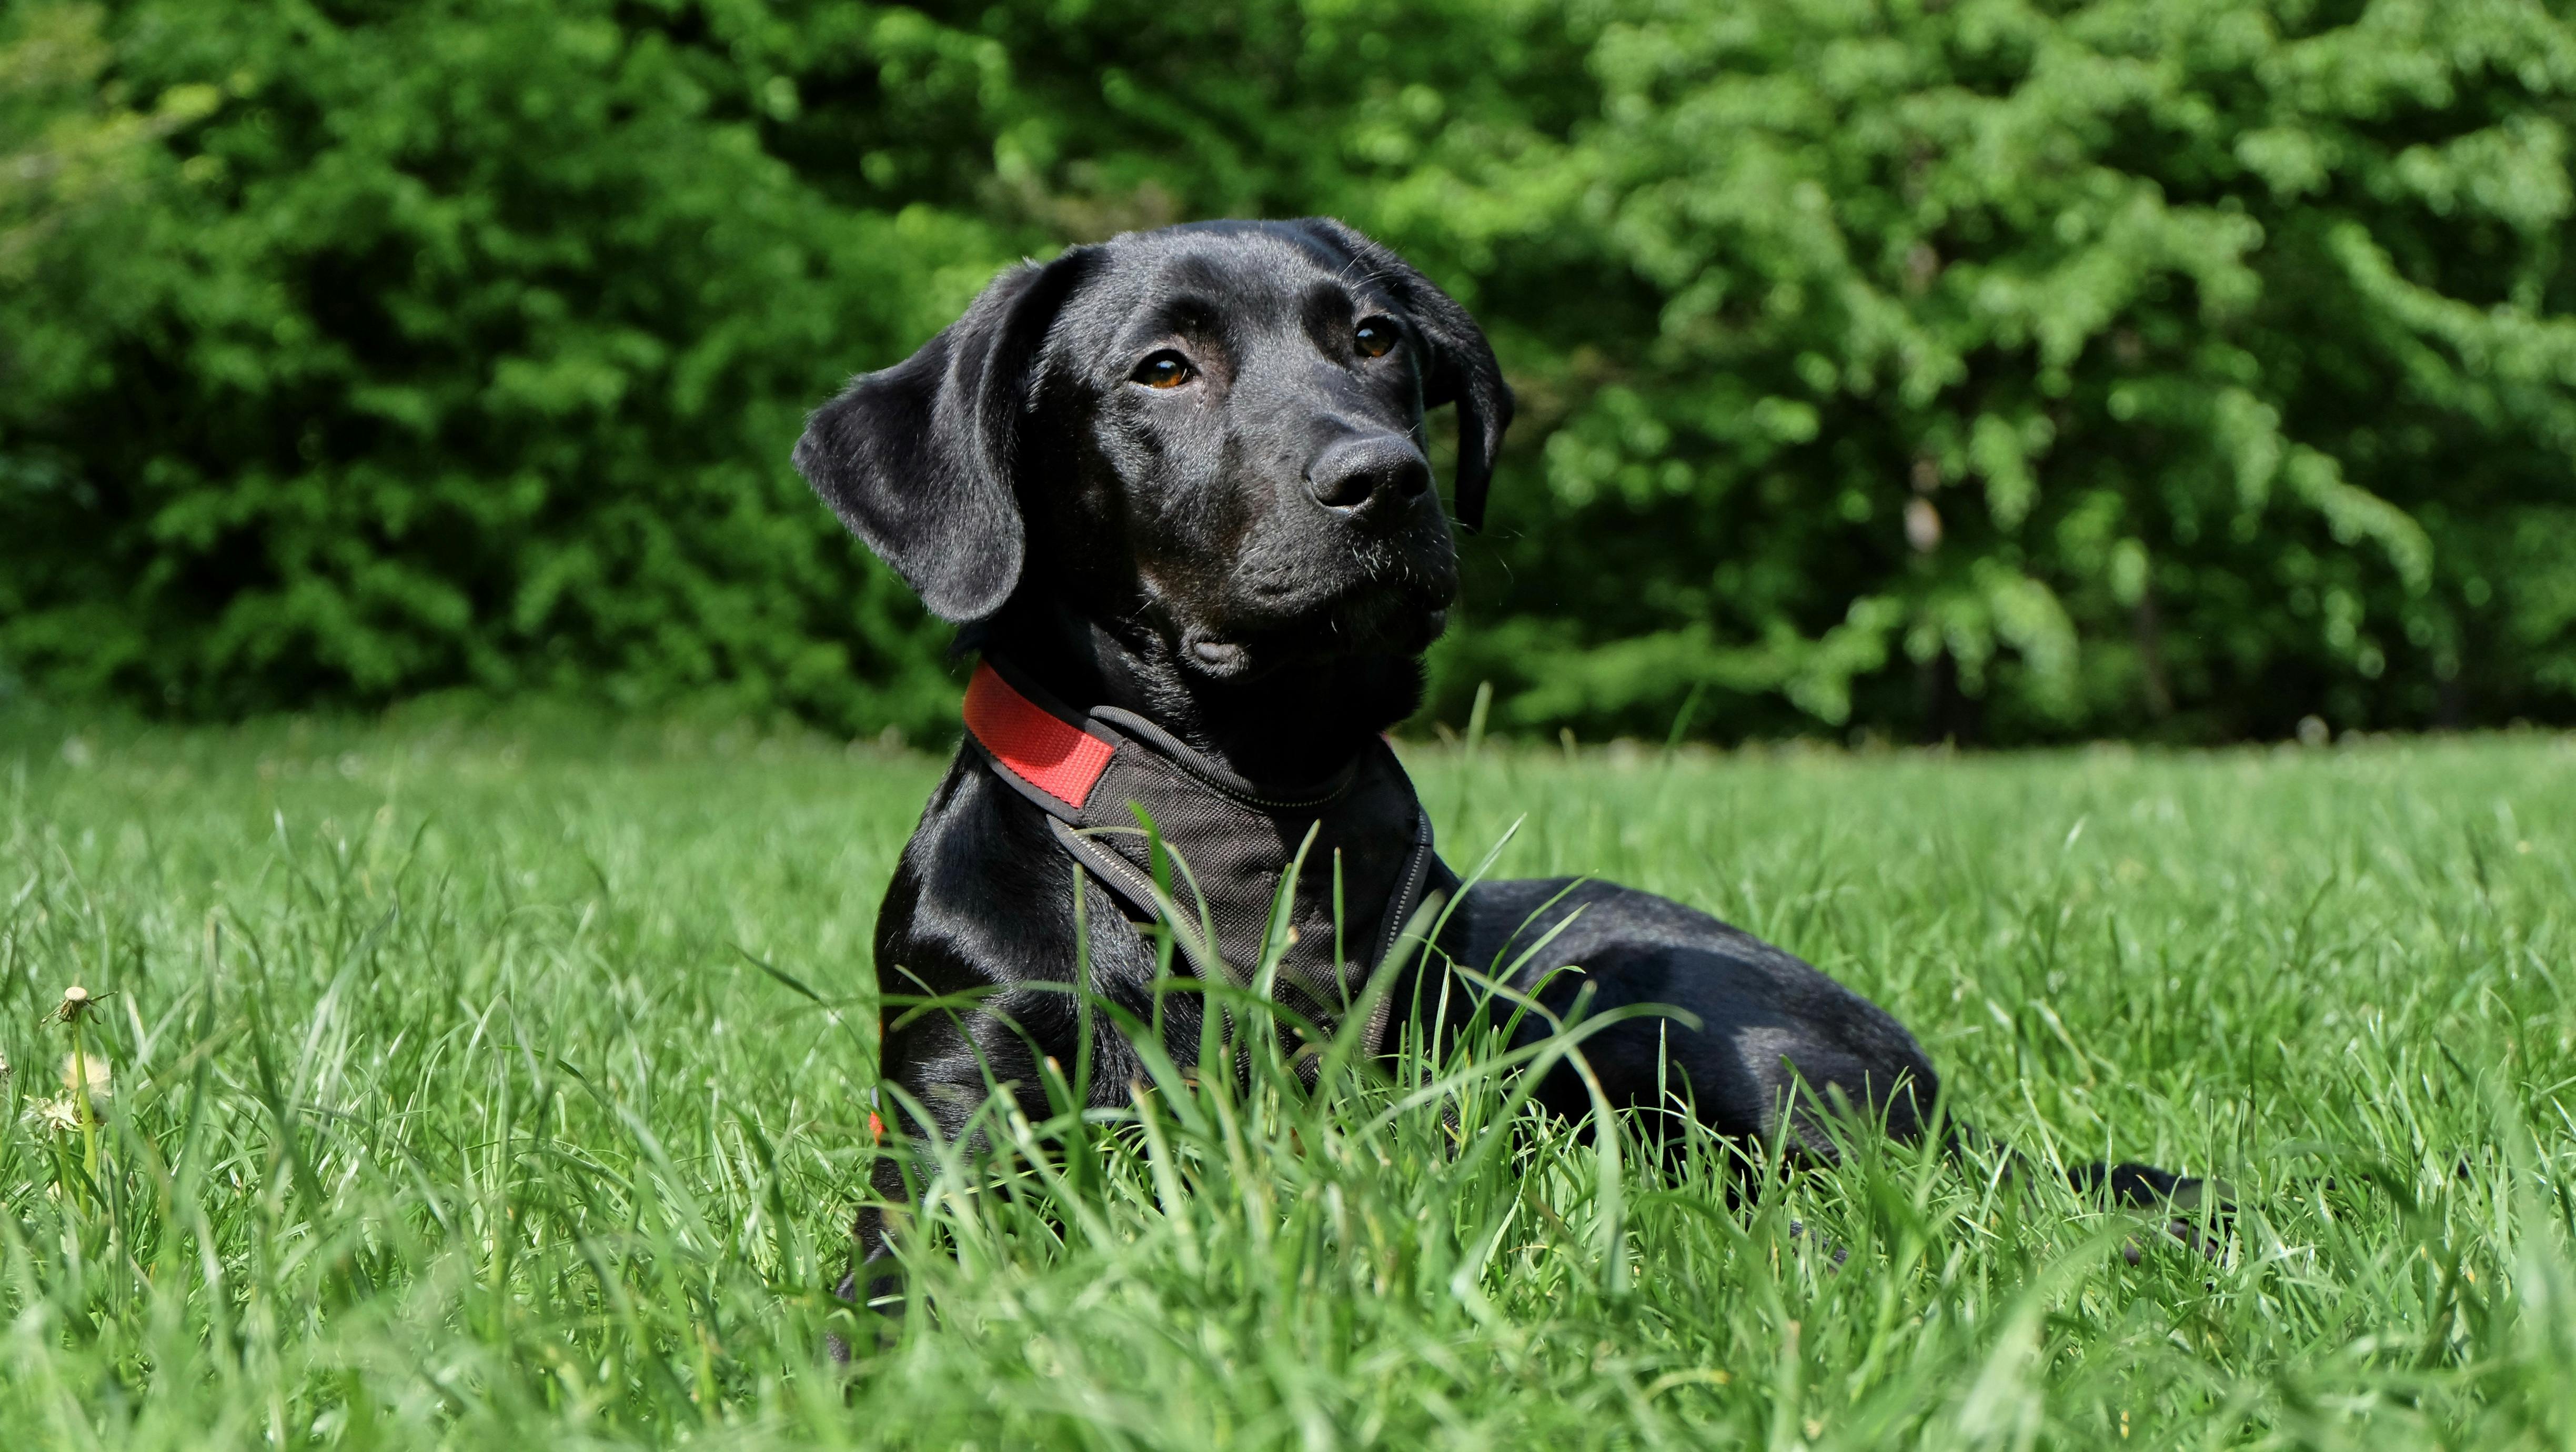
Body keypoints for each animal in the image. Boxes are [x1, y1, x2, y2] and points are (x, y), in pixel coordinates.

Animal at [788, 218, 2195, 1292]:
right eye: (1165, 368)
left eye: (1374, 340)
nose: (1384, 478)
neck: (1240, 806)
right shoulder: (959, 1108)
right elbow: (905, 1272)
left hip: (1657, 1008)